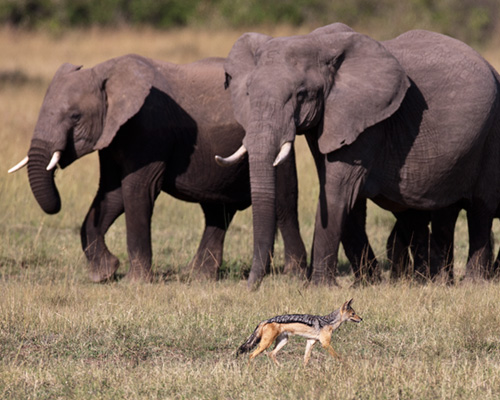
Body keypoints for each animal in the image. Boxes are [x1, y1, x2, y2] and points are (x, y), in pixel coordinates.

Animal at [9, 54, 306, 282]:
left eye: (74, 116)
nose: (57, 201)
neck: (106, 72)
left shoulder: (148, 128)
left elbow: (136, 190)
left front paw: (135, 282)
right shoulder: (113, 134)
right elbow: (110, 193)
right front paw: (104, 274)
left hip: (279, 140)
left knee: (283, 204)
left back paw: (294, 276)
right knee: (216, 211)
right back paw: (197, 276)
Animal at [218, 23, 500, 284]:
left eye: (301, 94)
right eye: (247, 92)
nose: (250, 286)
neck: (316, 42)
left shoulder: (367, 121)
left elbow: (337, 188)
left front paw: (319, 286)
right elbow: (342, 194)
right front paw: (367, 282)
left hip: (489, 136)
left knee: (480, 209)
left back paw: (472, 282)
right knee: (445, 213)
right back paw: (434, 281)